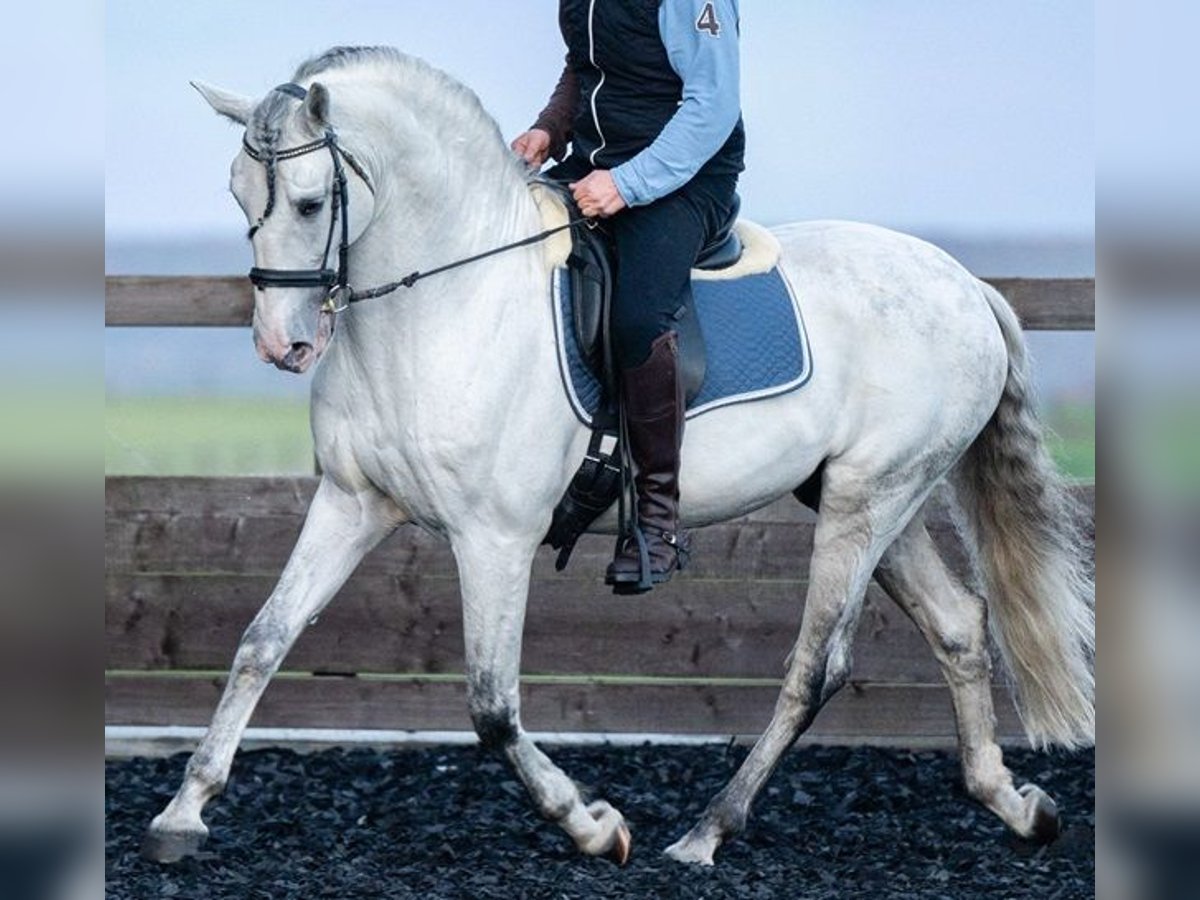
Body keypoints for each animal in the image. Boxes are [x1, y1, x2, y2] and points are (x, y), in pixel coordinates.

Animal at [142, 47, 1099, 868]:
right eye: (238, 194)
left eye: (309, 203)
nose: (284, 344)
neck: (446, 303)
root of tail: (965, 284)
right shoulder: (351, 503)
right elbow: (262, 641)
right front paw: (183, 814)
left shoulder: (494, 537)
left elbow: (492, 706)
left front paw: (595, 828)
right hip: (871, 499)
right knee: (958, 626)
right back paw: (1015, 805)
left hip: (868, 503)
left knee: (815, 667)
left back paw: (705, 833)